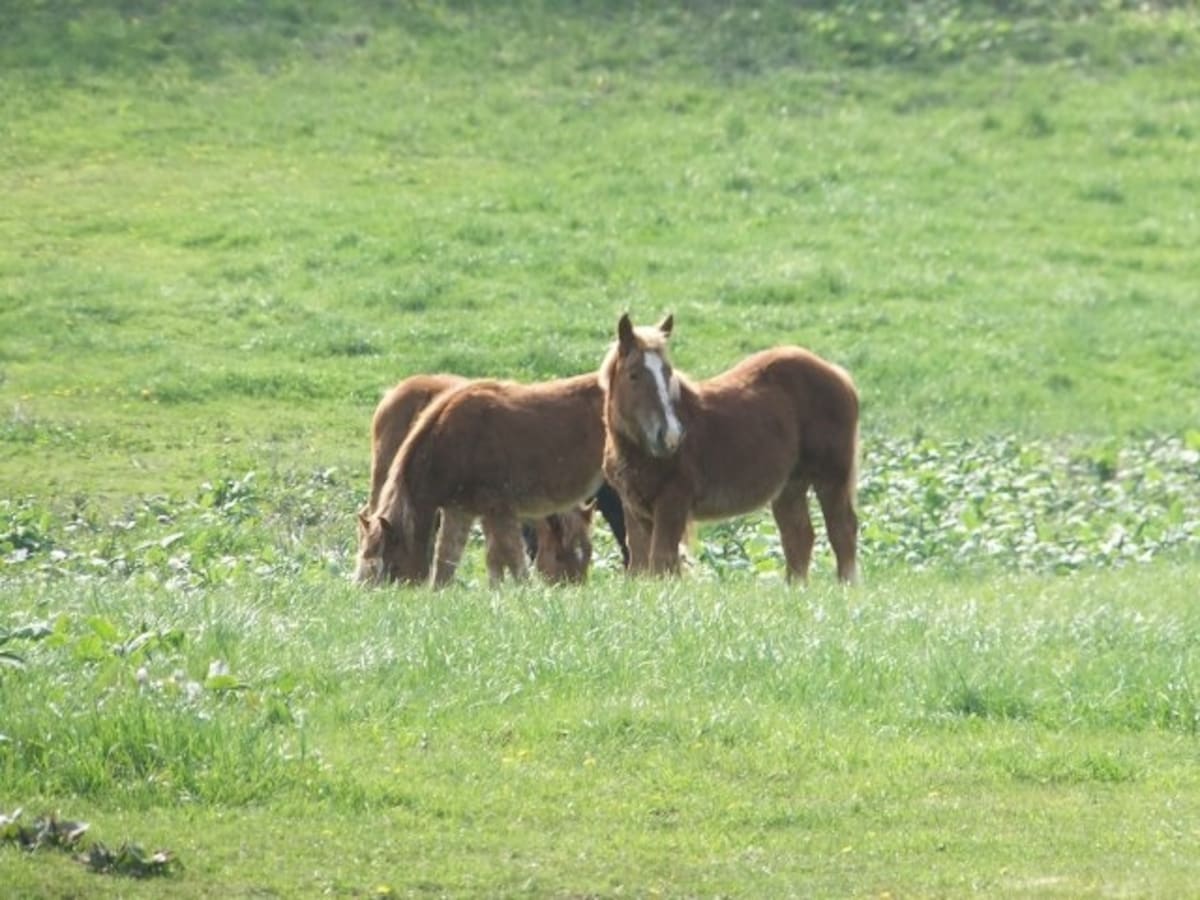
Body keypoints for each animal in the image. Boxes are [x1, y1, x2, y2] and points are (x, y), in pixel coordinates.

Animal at [357, 372, 608, 586]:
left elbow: (495, 558)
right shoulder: (475, 511)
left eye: (587, 554)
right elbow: (469, 558)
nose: (570, 588)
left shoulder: (486, 512)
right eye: (558, 555)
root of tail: (394, 392)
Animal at [599, 313, 859, 583]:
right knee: (798, 536)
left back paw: (847, 586)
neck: (638, 452)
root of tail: (839, 375)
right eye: (633, 375)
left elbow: (663, 560)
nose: (670, 436)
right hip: (791, 485)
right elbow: (642, 563)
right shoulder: (635, 509)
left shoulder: (672, 503)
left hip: (831, 476)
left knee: (841, 530)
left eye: (668, 372)